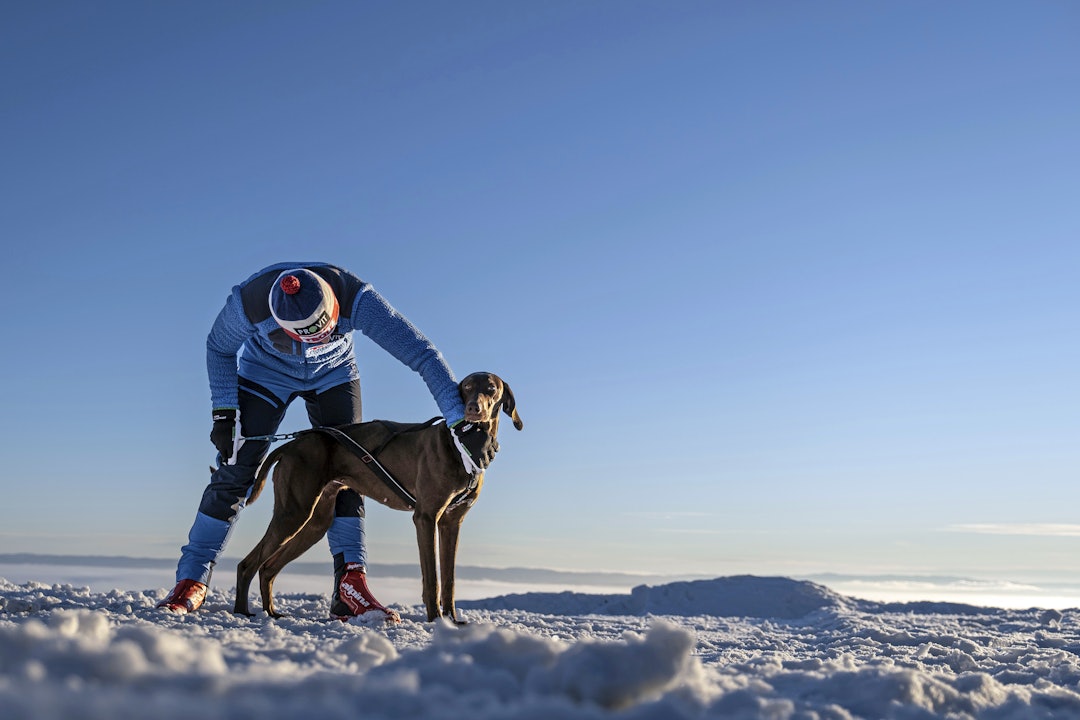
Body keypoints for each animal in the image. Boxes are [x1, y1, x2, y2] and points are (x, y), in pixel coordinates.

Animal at [234, 375, 524, 621]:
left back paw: (271, 612)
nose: (473, 408)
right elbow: (432, 578)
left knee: (268, 567)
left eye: (491, 388)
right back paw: (242, 612)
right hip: (294, 512)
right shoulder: (426, 517)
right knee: (248, 564)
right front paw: (436, 621)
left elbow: (449, 579)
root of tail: (290, 444)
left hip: (315, 523)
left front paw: (452, 621)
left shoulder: (451, 523)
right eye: (466, 387)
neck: (461, 444)